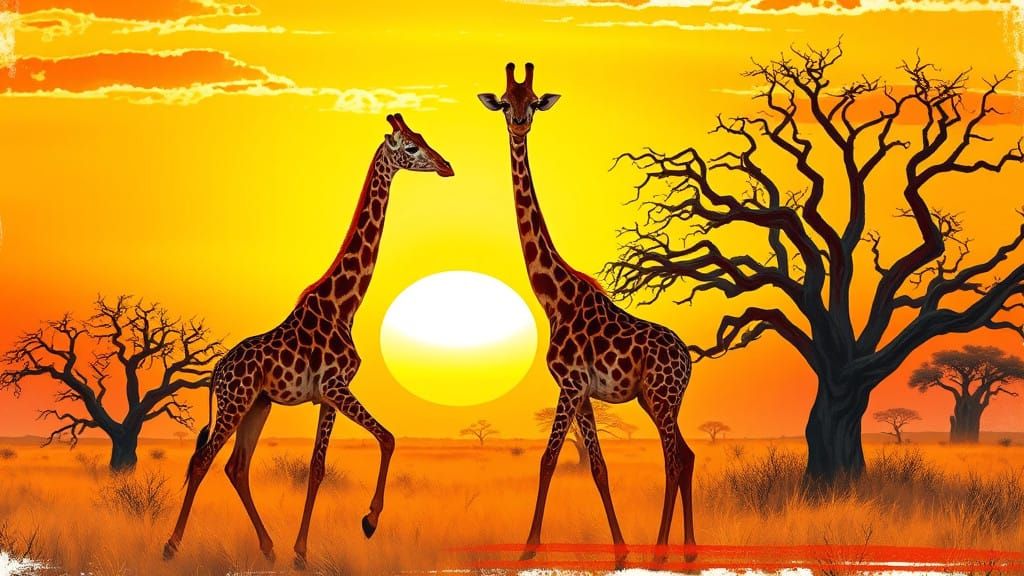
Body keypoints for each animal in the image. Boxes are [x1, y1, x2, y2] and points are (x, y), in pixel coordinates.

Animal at [163, 113, 454, 569]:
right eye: (410, 147)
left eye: (423, 138)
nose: (446, 166)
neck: (345, 305)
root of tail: (216, 372)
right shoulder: (336, 386)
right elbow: (386, 438)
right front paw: (369, 521)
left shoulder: (328, 395)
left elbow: (318, 468)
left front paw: (301, 551)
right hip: (236, 402)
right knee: (203, 461)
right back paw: (172, 546)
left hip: (258, 405)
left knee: (235, 467)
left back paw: (268, 548)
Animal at [478, 63, 696, 564]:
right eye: (505, 101)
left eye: (533, 100)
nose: (519, 123)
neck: (552, 299)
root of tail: (688, 360)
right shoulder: (582, 391)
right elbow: (597, 467)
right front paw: (620, 550)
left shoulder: (571, 383)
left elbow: (548, 459)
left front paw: (528, 549)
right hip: (656, 399)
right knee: (687, 456)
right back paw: (689, 551)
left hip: (661, 396)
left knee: (674, 458)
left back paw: (663, 550)